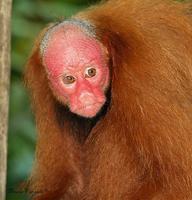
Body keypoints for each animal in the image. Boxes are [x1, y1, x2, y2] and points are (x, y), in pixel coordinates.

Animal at [25, 0, 192, 199]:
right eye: (69, 79)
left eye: (91, 72)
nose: (85, 96)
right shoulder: (42, 88)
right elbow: (71, 181)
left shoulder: (145, 77)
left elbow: (179, 179)